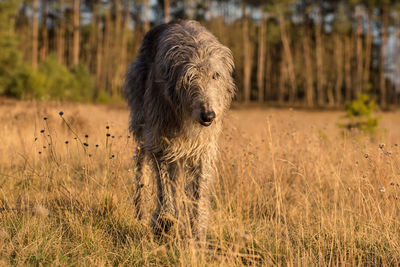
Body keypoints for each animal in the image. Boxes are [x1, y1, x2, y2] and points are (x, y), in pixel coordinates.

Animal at [122, 19, 234, 241]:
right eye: (189, 77)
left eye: (215, 75)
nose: (208, 116)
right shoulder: (161, 139)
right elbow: (164, 182)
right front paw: (164, 220)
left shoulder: (202, 148)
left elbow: (198, 189)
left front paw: (197, 232)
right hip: (142, 118)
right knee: (142, 163)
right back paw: (141, 209)